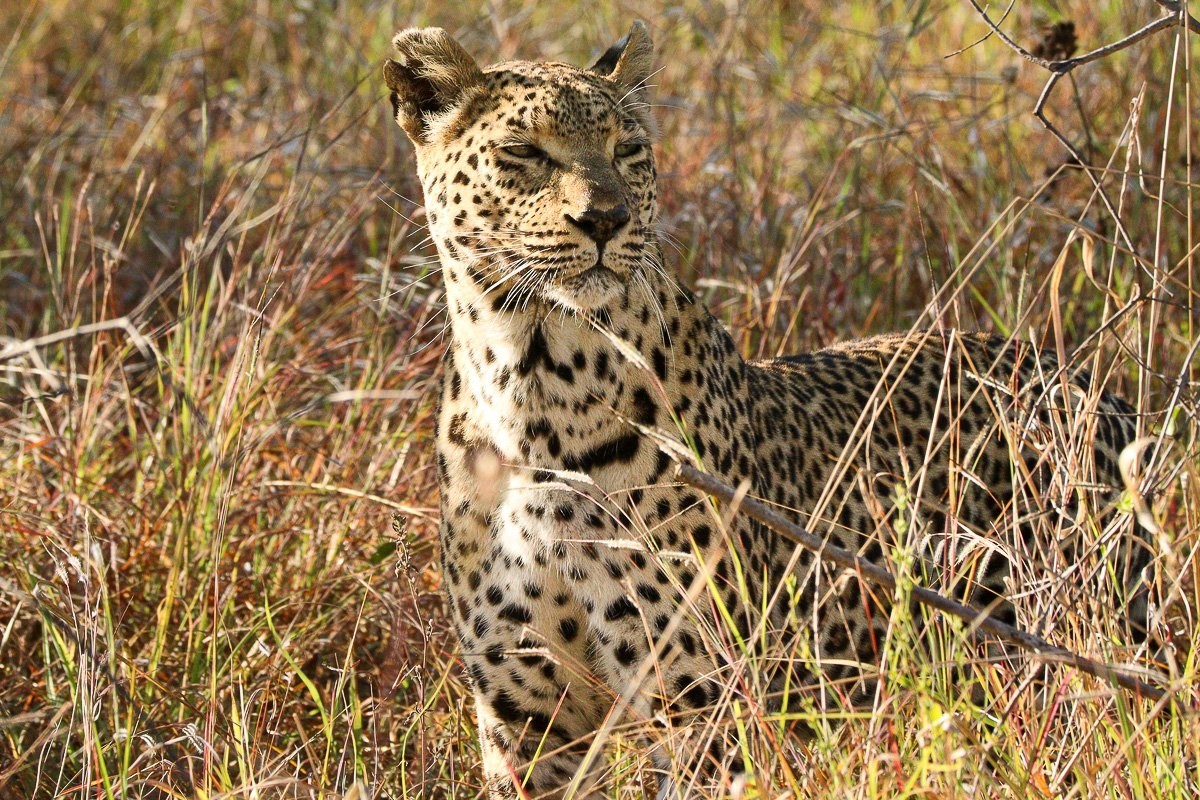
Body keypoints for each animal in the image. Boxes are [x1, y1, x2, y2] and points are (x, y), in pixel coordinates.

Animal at [383, 21, 1153, 799]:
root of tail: (1093, 385)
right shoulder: (527, 718)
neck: (530, 377)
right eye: (524, 153)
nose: (605, 219)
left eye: (627, 150)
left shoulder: (701, 702)